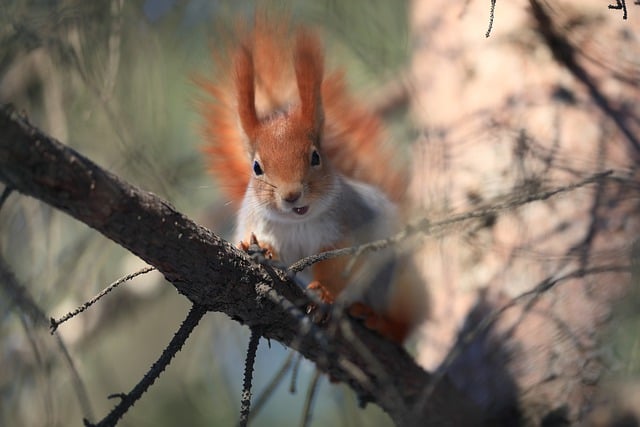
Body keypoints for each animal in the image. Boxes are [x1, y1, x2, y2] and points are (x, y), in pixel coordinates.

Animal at [195, 14, 424, 344]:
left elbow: (334, 268)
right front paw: (261, 249)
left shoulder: (342, 234)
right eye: (256, 167)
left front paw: (324, 294)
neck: (298, 223)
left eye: (316, 157)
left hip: (397, 282)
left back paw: (380, 321)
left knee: (406, 323)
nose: (292, 195)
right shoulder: (259, 224)